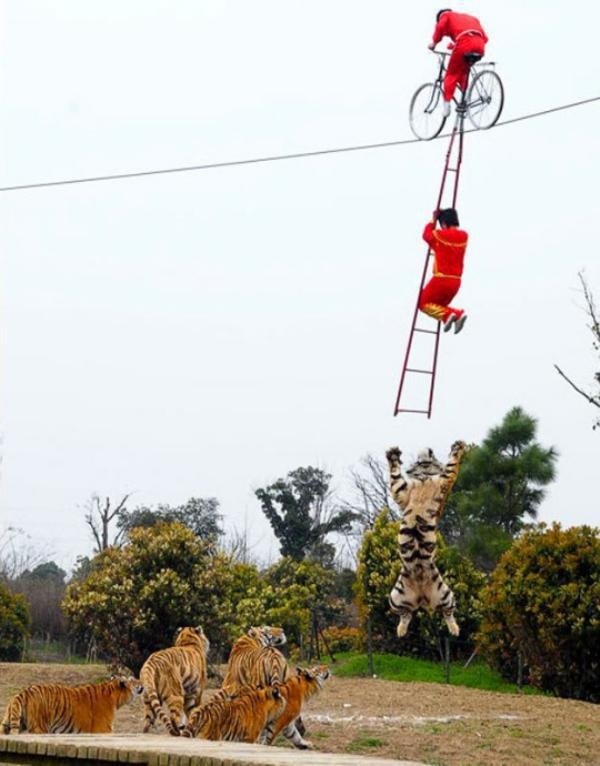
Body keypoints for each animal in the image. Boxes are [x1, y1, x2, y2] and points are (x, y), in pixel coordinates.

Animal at [0, 680, 141, 736]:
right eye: (133, 680)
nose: (142, 685)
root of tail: (23, 692)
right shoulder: (103, 729)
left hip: (7, 724)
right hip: (39, 728)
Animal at [386, 440, 466, 640]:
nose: (428, 449)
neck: (423, 477)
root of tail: (422, 600)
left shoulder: (445, 480)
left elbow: (451, 466)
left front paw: (459, 447)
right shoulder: (402, 491)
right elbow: (395, 477)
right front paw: (392, 454)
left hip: (446, 594)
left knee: (448, 612)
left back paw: (455, 630)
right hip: (395, 597)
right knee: (406, 614)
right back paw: (401, 631)